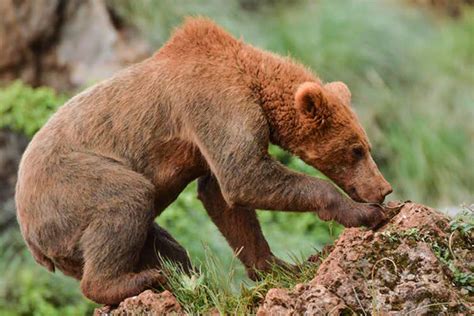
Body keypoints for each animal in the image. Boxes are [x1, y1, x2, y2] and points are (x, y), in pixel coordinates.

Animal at [15, 17, 392, 304]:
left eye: (367, 146)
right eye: (356, 149)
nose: (383, 189)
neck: (255, 85)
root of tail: (32, 241)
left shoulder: (210, 138)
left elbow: (223, 197)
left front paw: (279, 267)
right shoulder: (215, 102)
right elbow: (244, 175)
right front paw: (362, 214)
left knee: (162, 246)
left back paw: (184, 282)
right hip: (71, 186)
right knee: (125, 199)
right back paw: (136, 281)